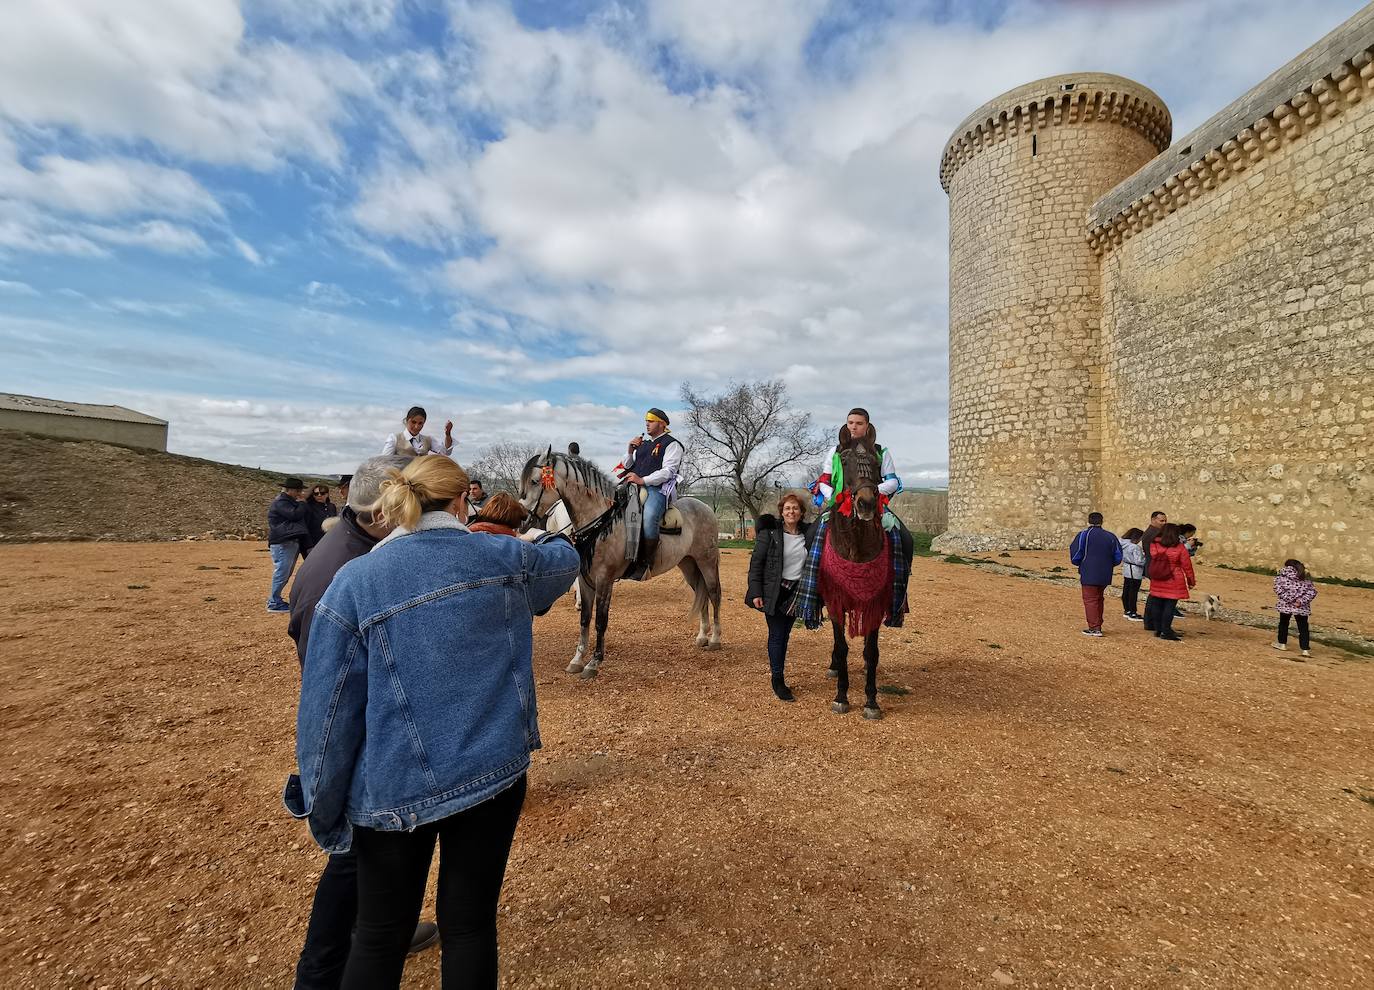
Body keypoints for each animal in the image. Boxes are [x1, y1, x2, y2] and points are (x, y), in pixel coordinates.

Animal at [519, 450, 725, 675]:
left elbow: (601, 621)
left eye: (535, 481)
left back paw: (715, 639)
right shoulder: (585, 580)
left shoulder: (604, 579)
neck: (600, 521)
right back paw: (702, 636)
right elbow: (585, 619)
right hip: (689, 565)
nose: (522, 520)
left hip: (706, 561)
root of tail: (705, 507)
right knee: (701, 593)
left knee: (714, 594)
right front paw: (577, 659)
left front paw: (594, 662)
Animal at [818, 422, 895, 719]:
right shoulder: (835, 601)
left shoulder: (874, 604)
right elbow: (841, 648)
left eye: (875, 462)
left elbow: (871, 651)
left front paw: (871, 701)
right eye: (845, 460)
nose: (865, 504)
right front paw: (841, 696)